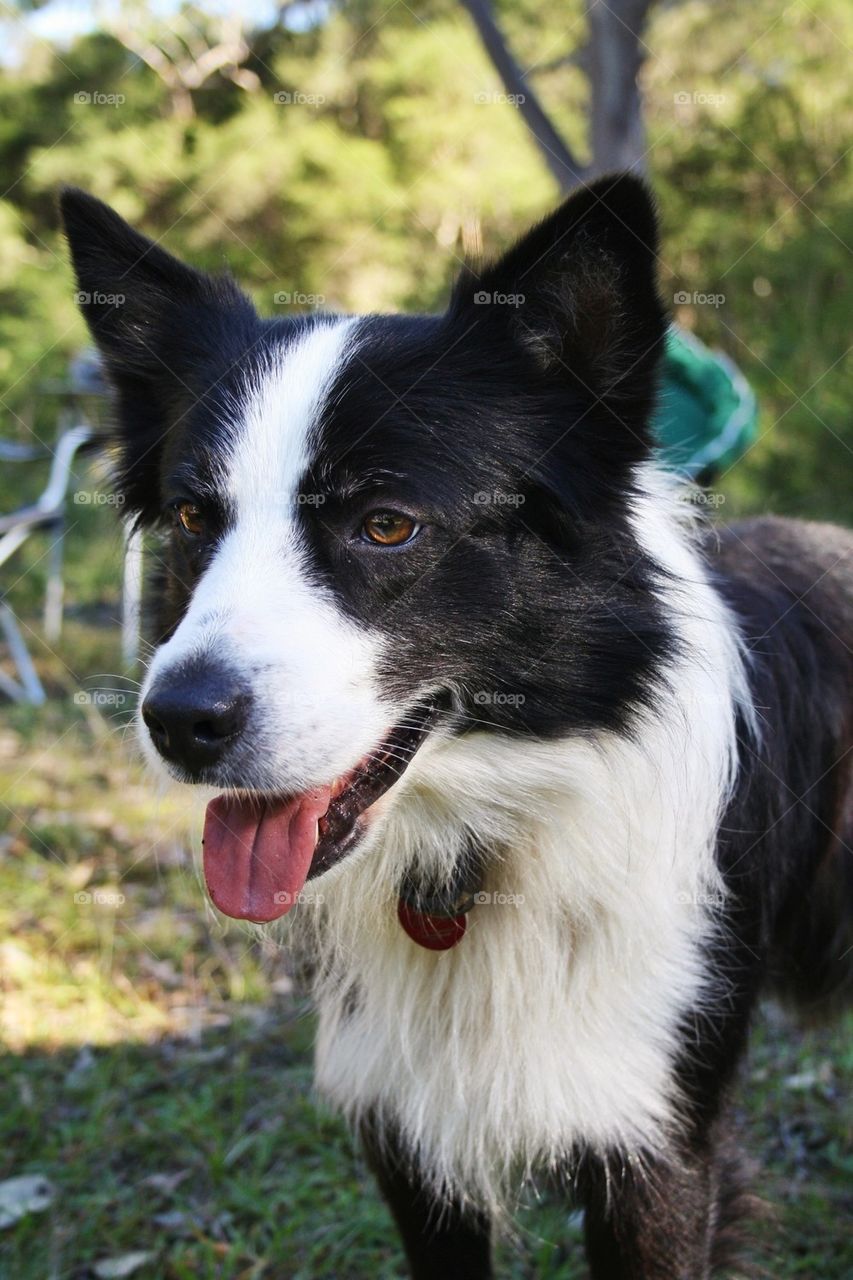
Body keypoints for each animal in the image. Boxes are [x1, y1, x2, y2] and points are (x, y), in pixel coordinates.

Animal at [63, 175, 845, 1274]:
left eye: (387, 524)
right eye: (189, 519)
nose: (177, 721)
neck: (481, 842)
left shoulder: (662, 1144)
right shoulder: (405, 1132)